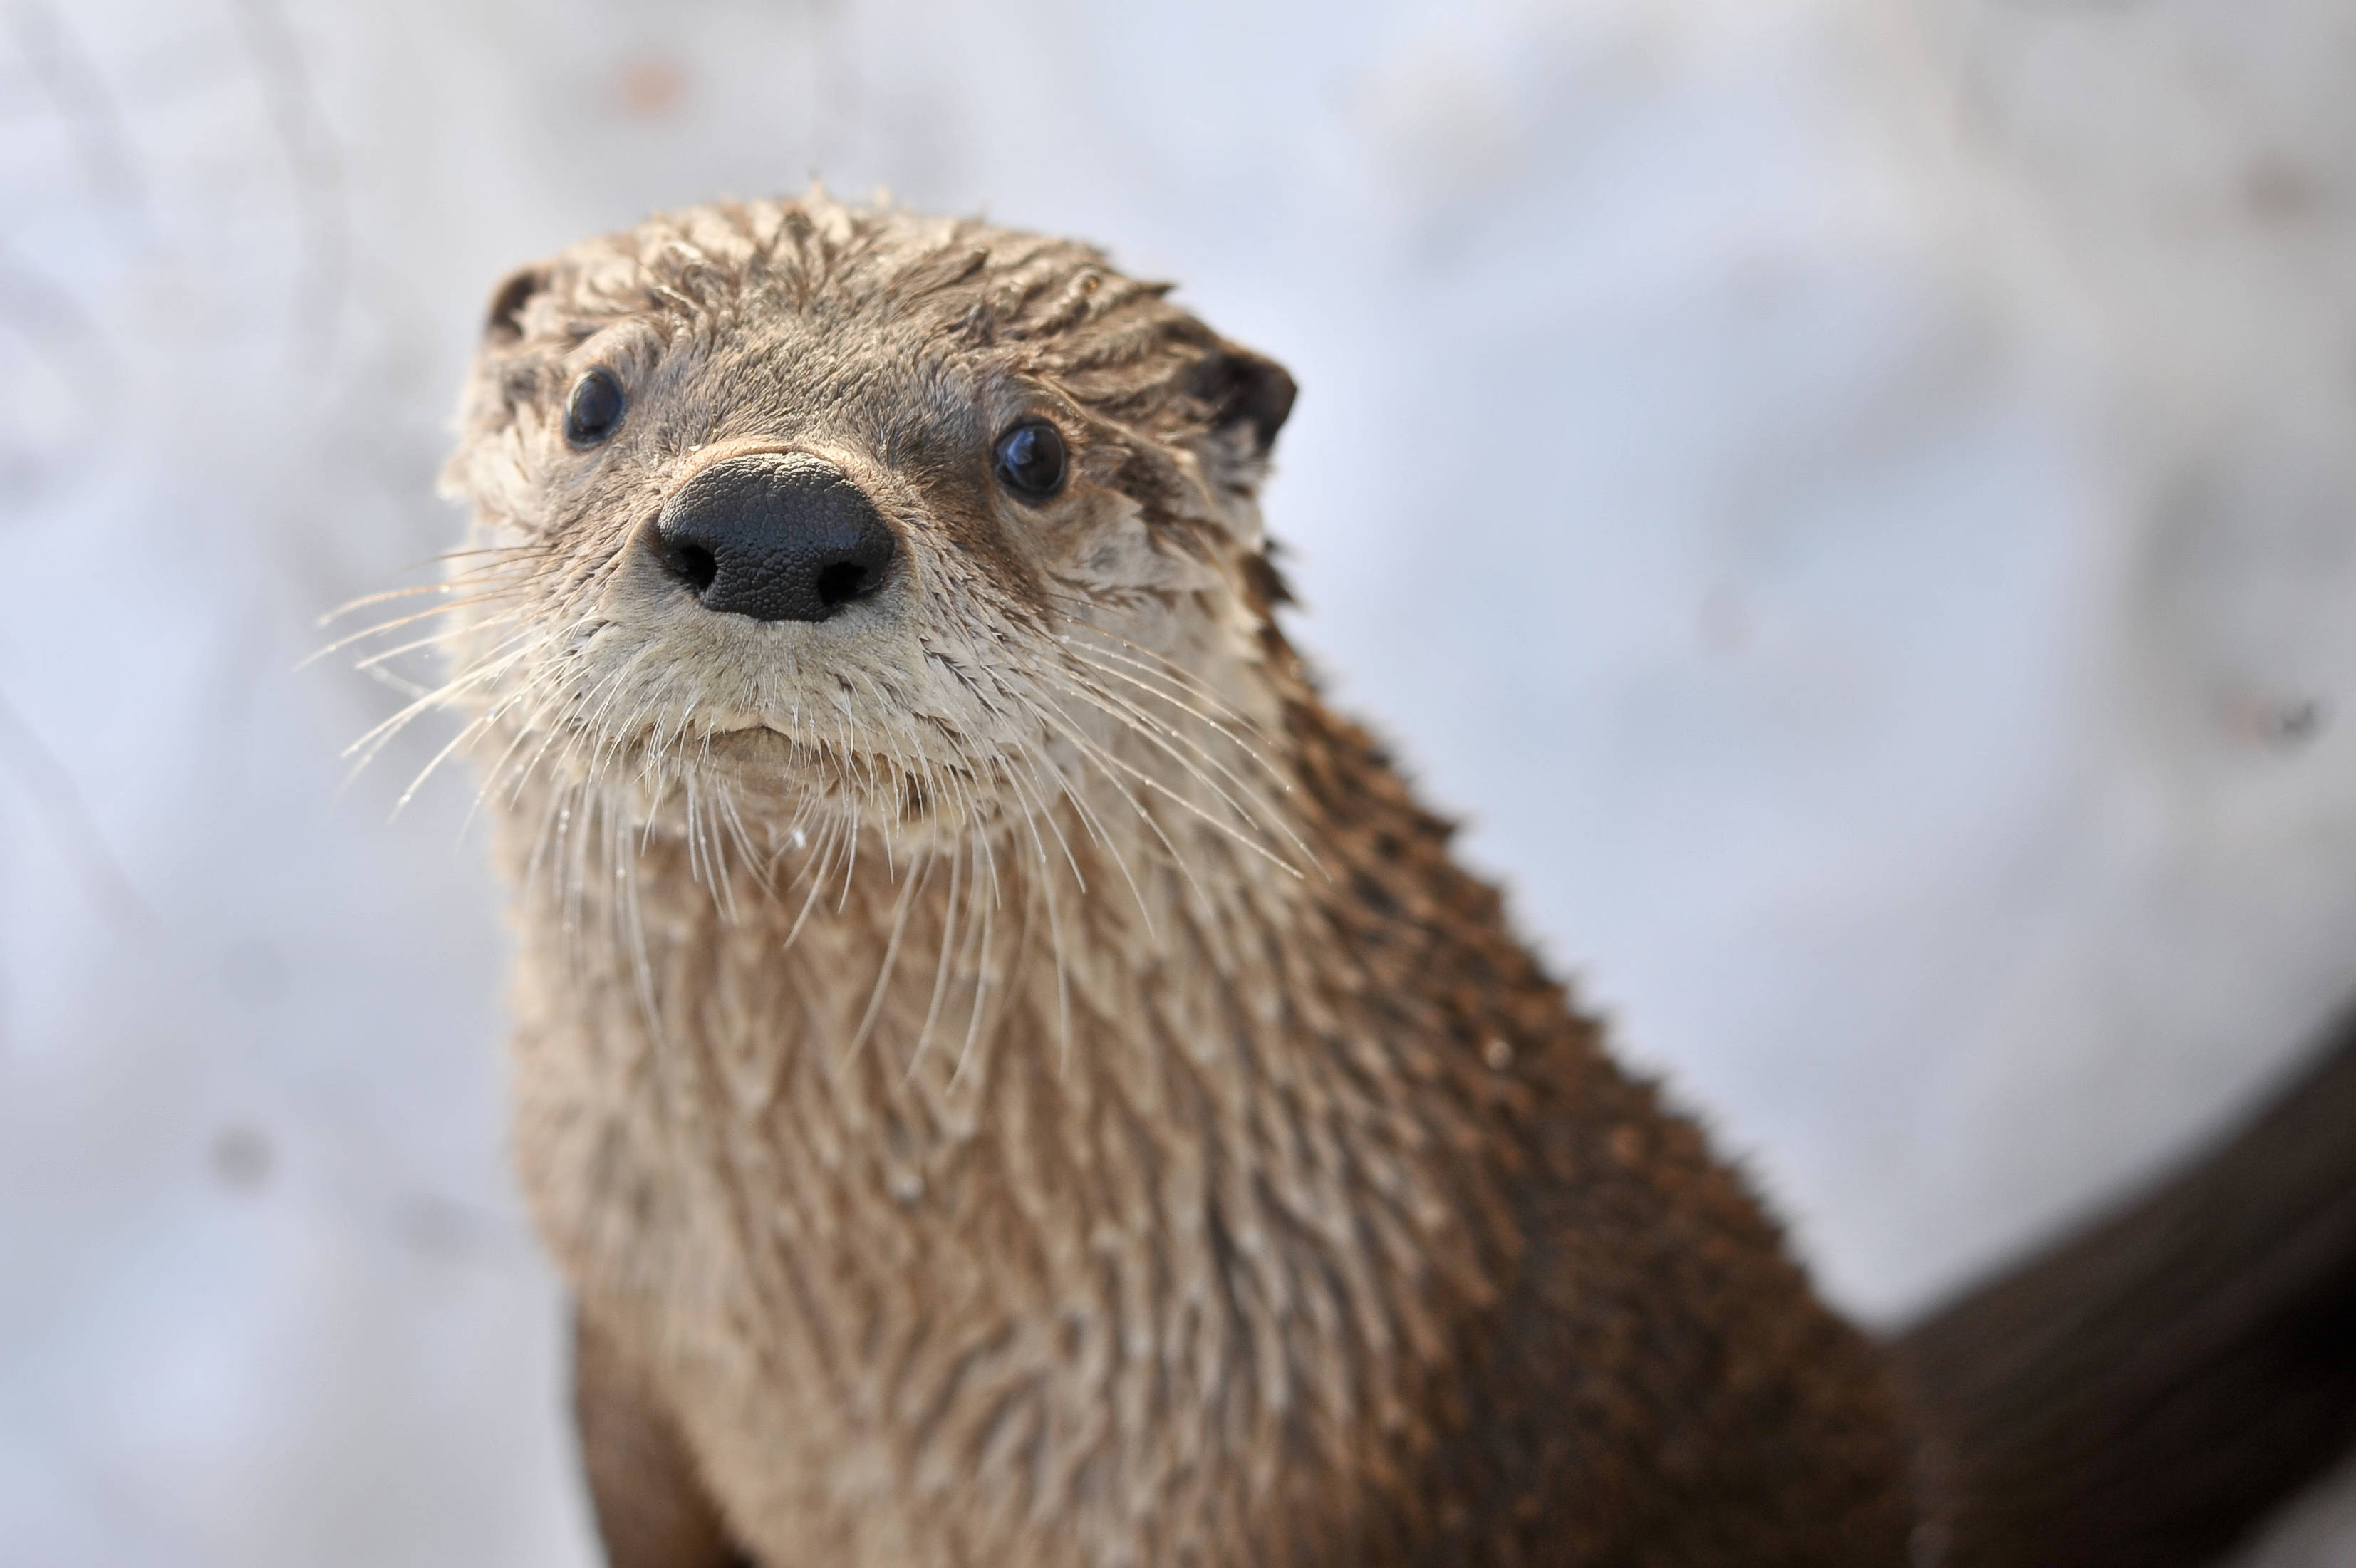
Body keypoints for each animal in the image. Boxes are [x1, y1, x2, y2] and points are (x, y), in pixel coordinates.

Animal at [409, 193, 2356, 1567]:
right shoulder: (625, 1348)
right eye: (597, 395)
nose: (775, 522)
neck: (854, 1363)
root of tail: (1897, 1441)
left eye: (1034, 448)